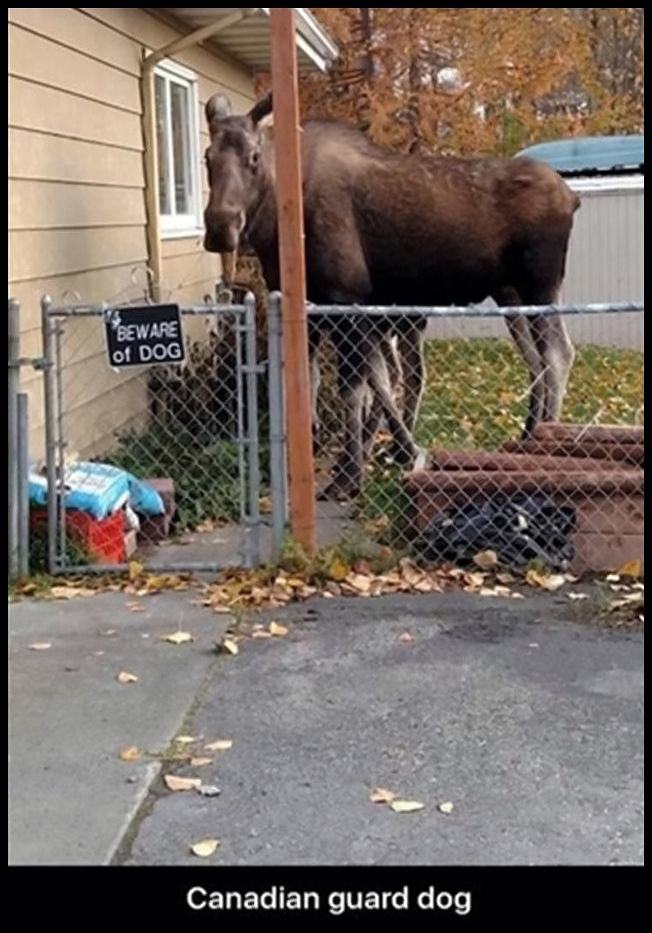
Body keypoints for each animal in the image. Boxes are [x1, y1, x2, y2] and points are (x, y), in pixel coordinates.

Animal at [201, 92, 580, 498]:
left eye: (254, 157)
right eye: (207, 156)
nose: (220, 226)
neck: (278, 226)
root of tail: (571, 197)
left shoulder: (345, 299)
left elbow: (355, 388)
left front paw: (350, 475)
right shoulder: (318, 310)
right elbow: (335, 381)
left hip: (540, 285)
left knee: (558, 354)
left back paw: (546, 444)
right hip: (510, 294)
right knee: (535, 361)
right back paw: (527, 434)